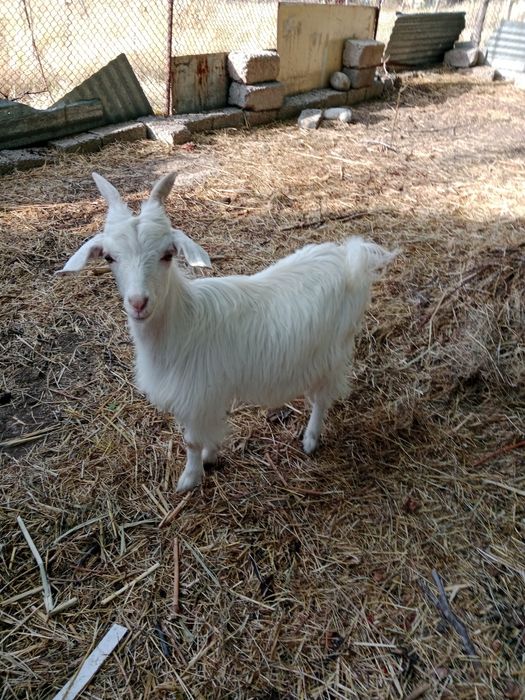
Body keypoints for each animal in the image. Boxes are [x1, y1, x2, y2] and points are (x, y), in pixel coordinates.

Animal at [58, 172, 397, 492]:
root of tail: (349, 257)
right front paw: (210, 457)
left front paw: (190, 478)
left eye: (168, 254)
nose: (139, 303)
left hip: (332, 350)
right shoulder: (201, 394)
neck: (182, 323)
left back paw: (311, 439)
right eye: (109, 257)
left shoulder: (196, 393)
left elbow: (191, 440)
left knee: (322, 398)